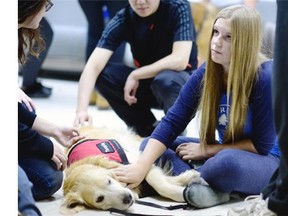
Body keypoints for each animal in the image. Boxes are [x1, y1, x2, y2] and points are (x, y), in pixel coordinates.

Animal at [59, 125, 201, 214]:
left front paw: (184, 188)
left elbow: (159, 184)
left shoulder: (137, 164)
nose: (127, 198)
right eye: (99, 199)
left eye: (108, 181)